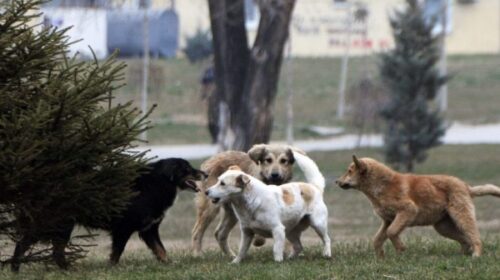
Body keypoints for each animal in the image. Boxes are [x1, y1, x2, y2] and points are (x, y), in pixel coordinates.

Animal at [12, 159, 207, 272]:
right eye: (187, 168)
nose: (205, 173)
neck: (156, 183)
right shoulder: (123, 229)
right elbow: (117, 252)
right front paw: (111, 269)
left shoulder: (148, 229)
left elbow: (161, 250)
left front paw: (169, 264)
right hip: (56, 225)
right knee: (25, 244)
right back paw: (16, 268)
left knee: (55, 251)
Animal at [336, 155, 500, 258]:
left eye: (349, 171)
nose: (336, 182)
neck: (381, 185)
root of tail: (466, 186)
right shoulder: (388, 220)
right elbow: (378, 239)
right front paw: (380, 257)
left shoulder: (408, 210)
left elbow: (391, 232)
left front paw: (400, 249)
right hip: (443, 227)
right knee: (465, 239)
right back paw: (463, 255)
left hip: (461, 216)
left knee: (474, 237)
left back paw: (476, 255)